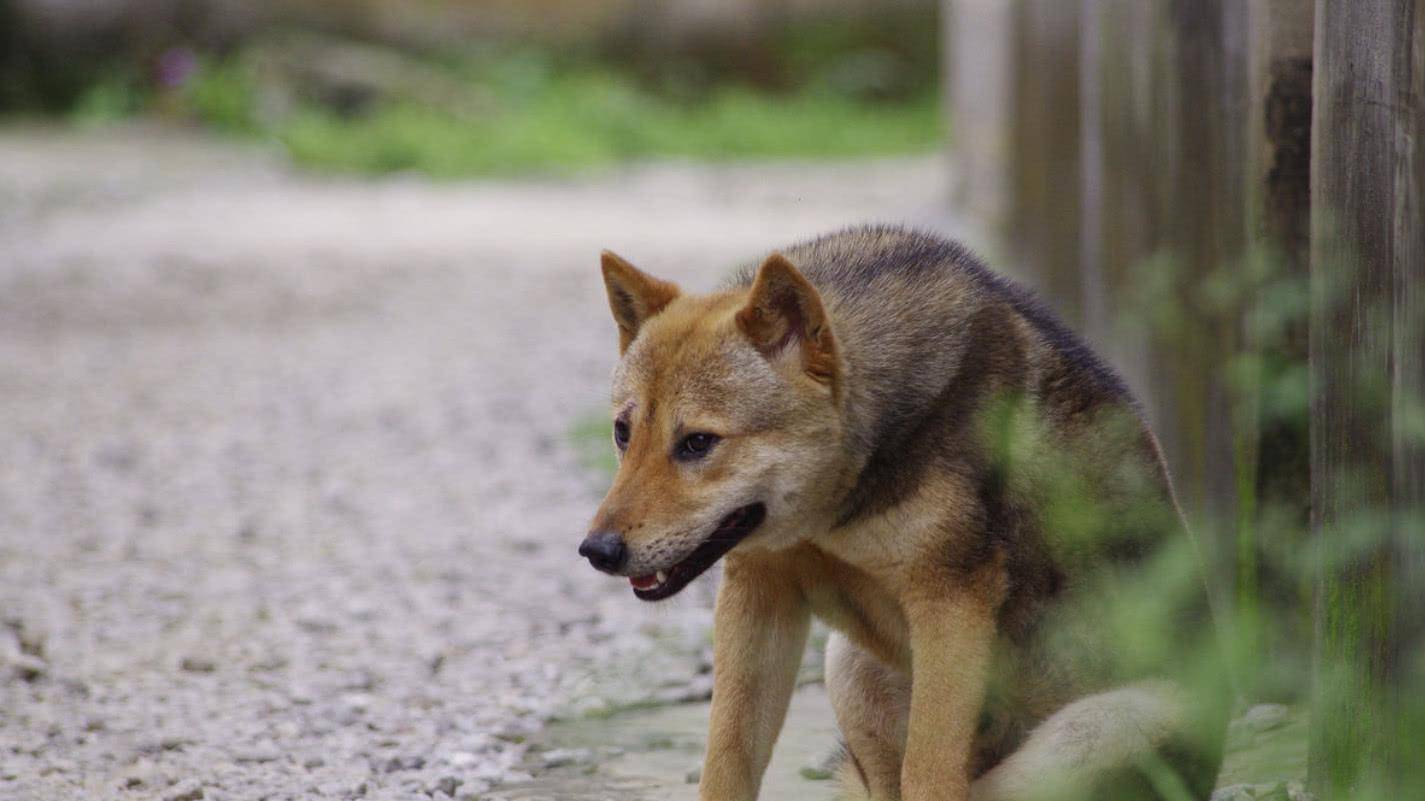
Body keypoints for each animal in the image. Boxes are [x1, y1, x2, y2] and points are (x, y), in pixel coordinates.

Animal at [578, 225, 1225, 798]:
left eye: (697, 443)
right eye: (622, 433)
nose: (596, 551)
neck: (834, 511)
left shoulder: (950, 603)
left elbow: (930, 775)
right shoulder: (759, 594)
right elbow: (727, 763)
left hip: (1106, 727)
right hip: (850, 666)